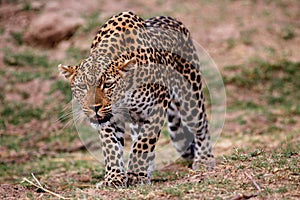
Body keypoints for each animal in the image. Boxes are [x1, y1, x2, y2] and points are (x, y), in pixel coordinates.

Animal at [57, 10, 214, 187]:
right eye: (82, 87)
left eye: (108, 84)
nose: (94, 107)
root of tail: (172, 19)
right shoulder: (110, 119)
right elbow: (111, 147)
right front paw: (114, 178)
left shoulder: (158, 105)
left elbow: (143, 143)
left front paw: (135, 175)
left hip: (190, 98)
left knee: (201, 125)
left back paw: (204, 159)